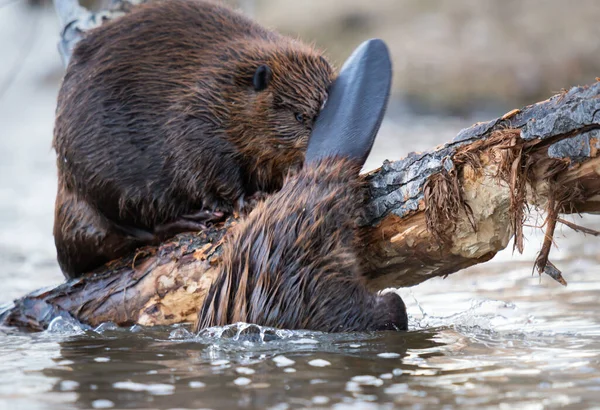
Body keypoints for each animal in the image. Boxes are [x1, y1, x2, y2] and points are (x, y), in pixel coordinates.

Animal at [54, 0, 336, 278]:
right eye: (299, 115)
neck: (229, 88)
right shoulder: (196, 120)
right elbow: (211, 168)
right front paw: (248, 199)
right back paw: (192, 219)